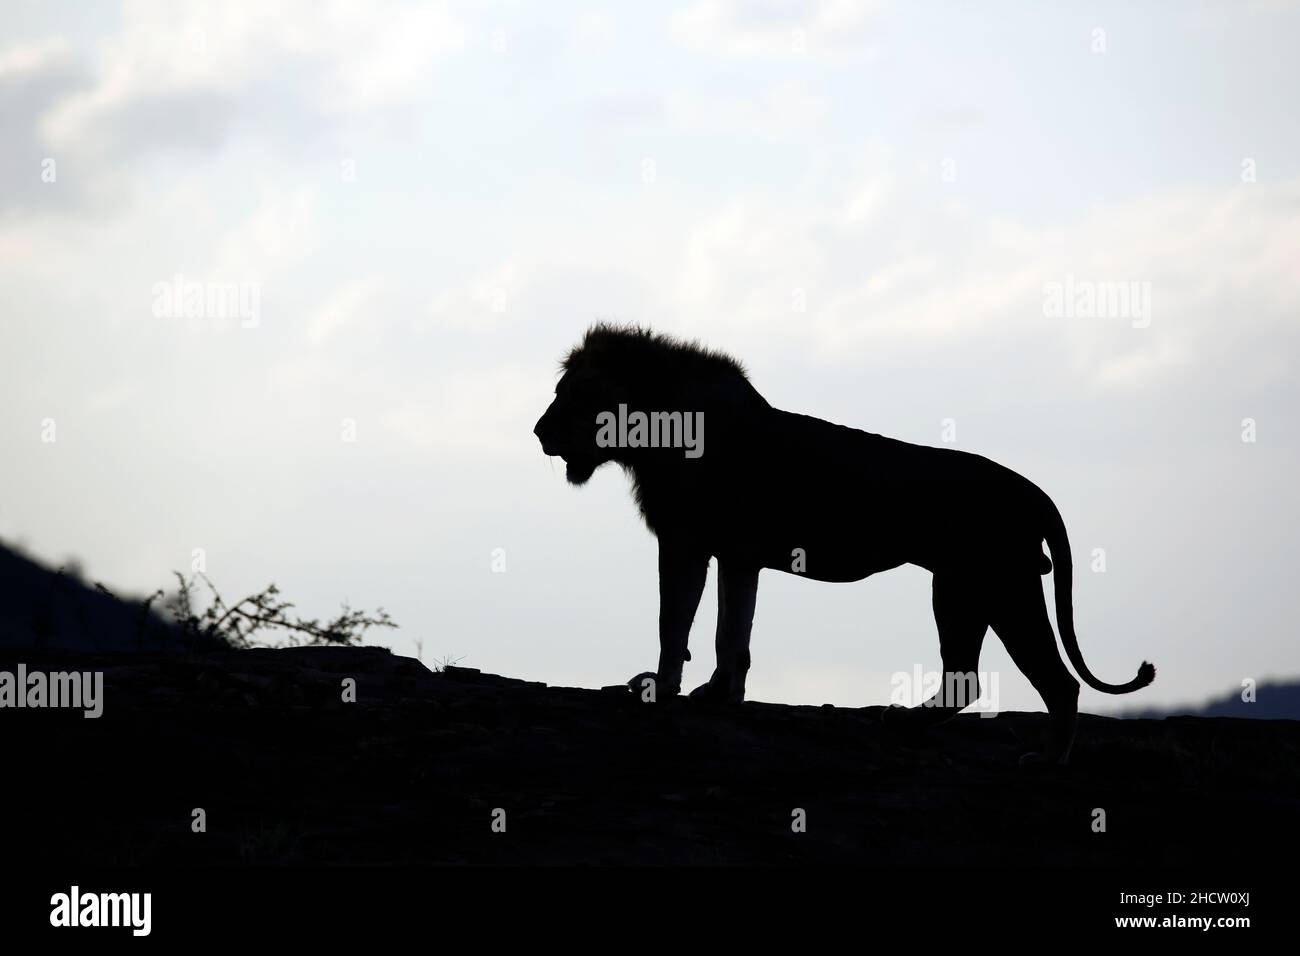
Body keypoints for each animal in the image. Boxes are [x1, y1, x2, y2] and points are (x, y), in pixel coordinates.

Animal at [534, 324, 1155, 765]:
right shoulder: (737, 554)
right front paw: (720, 693)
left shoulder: (685, 541)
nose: (538, 432)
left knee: (1056, 681)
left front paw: (661, 691)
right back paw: (905, 721)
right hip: (963, 587)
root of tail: (1032, 490)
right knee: (968, 678)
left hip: (995, 584)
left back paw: (1046, 761)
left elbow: (676, 622)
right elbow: (731, 631)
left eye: (570, 395)